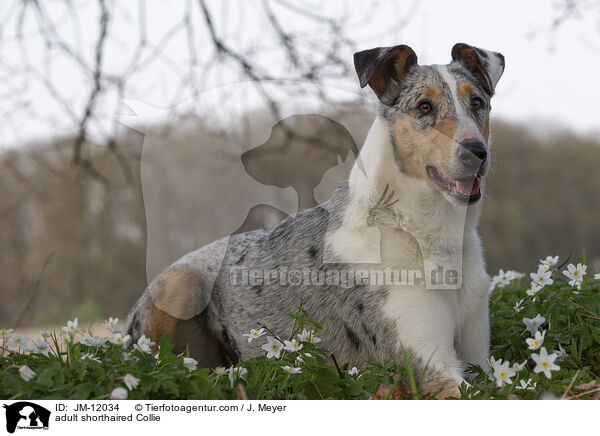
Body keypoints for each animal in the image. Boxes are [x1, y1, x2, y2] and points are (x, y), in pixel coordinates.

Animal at [125, 42, 502, 396]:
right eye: (424, 107)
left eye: (478, 102)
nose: (476, 152)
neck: (426, 235)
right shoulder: (429, 369)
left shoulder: (479, 358)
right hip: (180, 282)